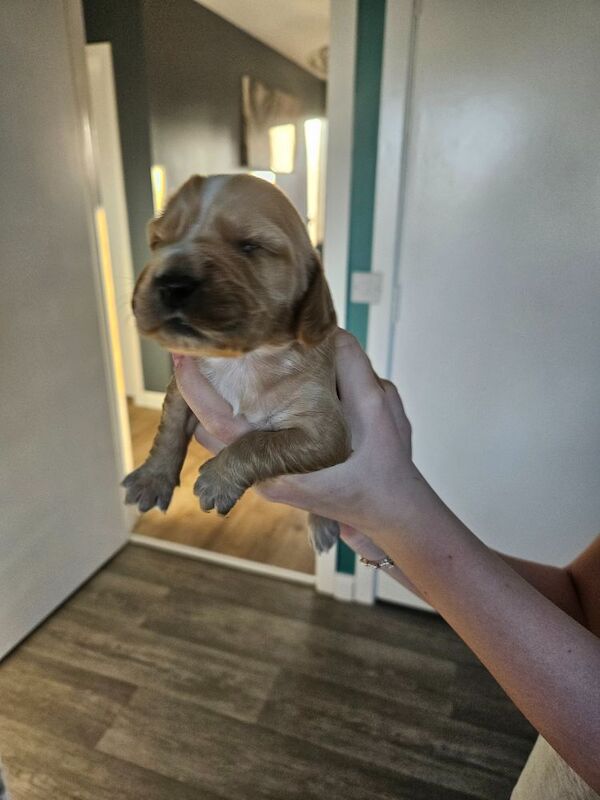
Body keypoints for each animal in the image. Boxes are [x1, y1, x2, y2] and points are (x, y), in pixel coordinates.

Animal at [123, 173, 352, 552]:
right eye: (159, 241)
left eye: (249, 246)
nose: (171, 282)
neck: (244, 359)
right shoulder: (182, 388)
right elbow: (169, 428)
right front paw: (152, 479)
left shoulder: (326, 430)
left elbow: (261, 443)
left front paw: (216, 481)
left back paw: (321, 526)